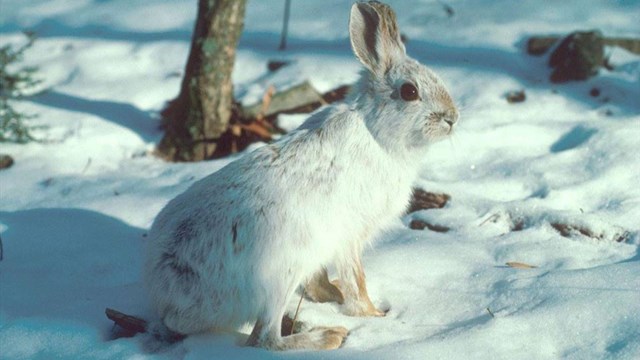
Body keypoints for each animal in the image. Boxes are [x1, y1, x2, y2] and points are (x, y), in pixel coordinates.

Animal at [143, 0, 458, 352]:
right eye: (409, 91)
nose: (452, 118)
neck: (376, 132)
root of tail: (167, 296)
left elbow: (322, 279)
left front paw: (332, 294)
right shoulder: (349, 236)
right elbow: (356, 279)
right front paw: (373, 314)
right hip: (278, 273)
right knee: (264, 340)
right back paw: (329, 336)